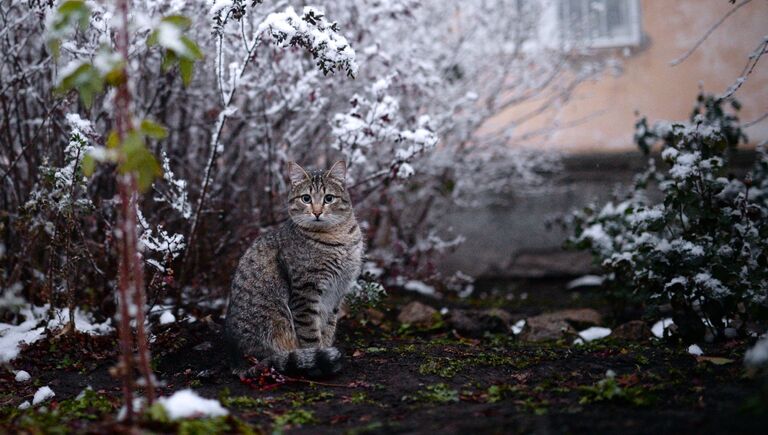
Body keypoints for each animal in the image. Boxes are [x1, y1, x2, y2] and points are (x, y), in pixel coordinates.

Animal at [224, 160, 364, 378]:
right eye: (306, 198)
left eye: (329, 198)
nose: (317, 212)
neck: (338, 238)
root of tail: (238, 361)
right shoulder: (305, 293)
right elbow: (310, 335)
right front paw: (318, 361)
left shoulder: (336, 294)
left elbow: (328, 329)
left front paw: (326, 351)